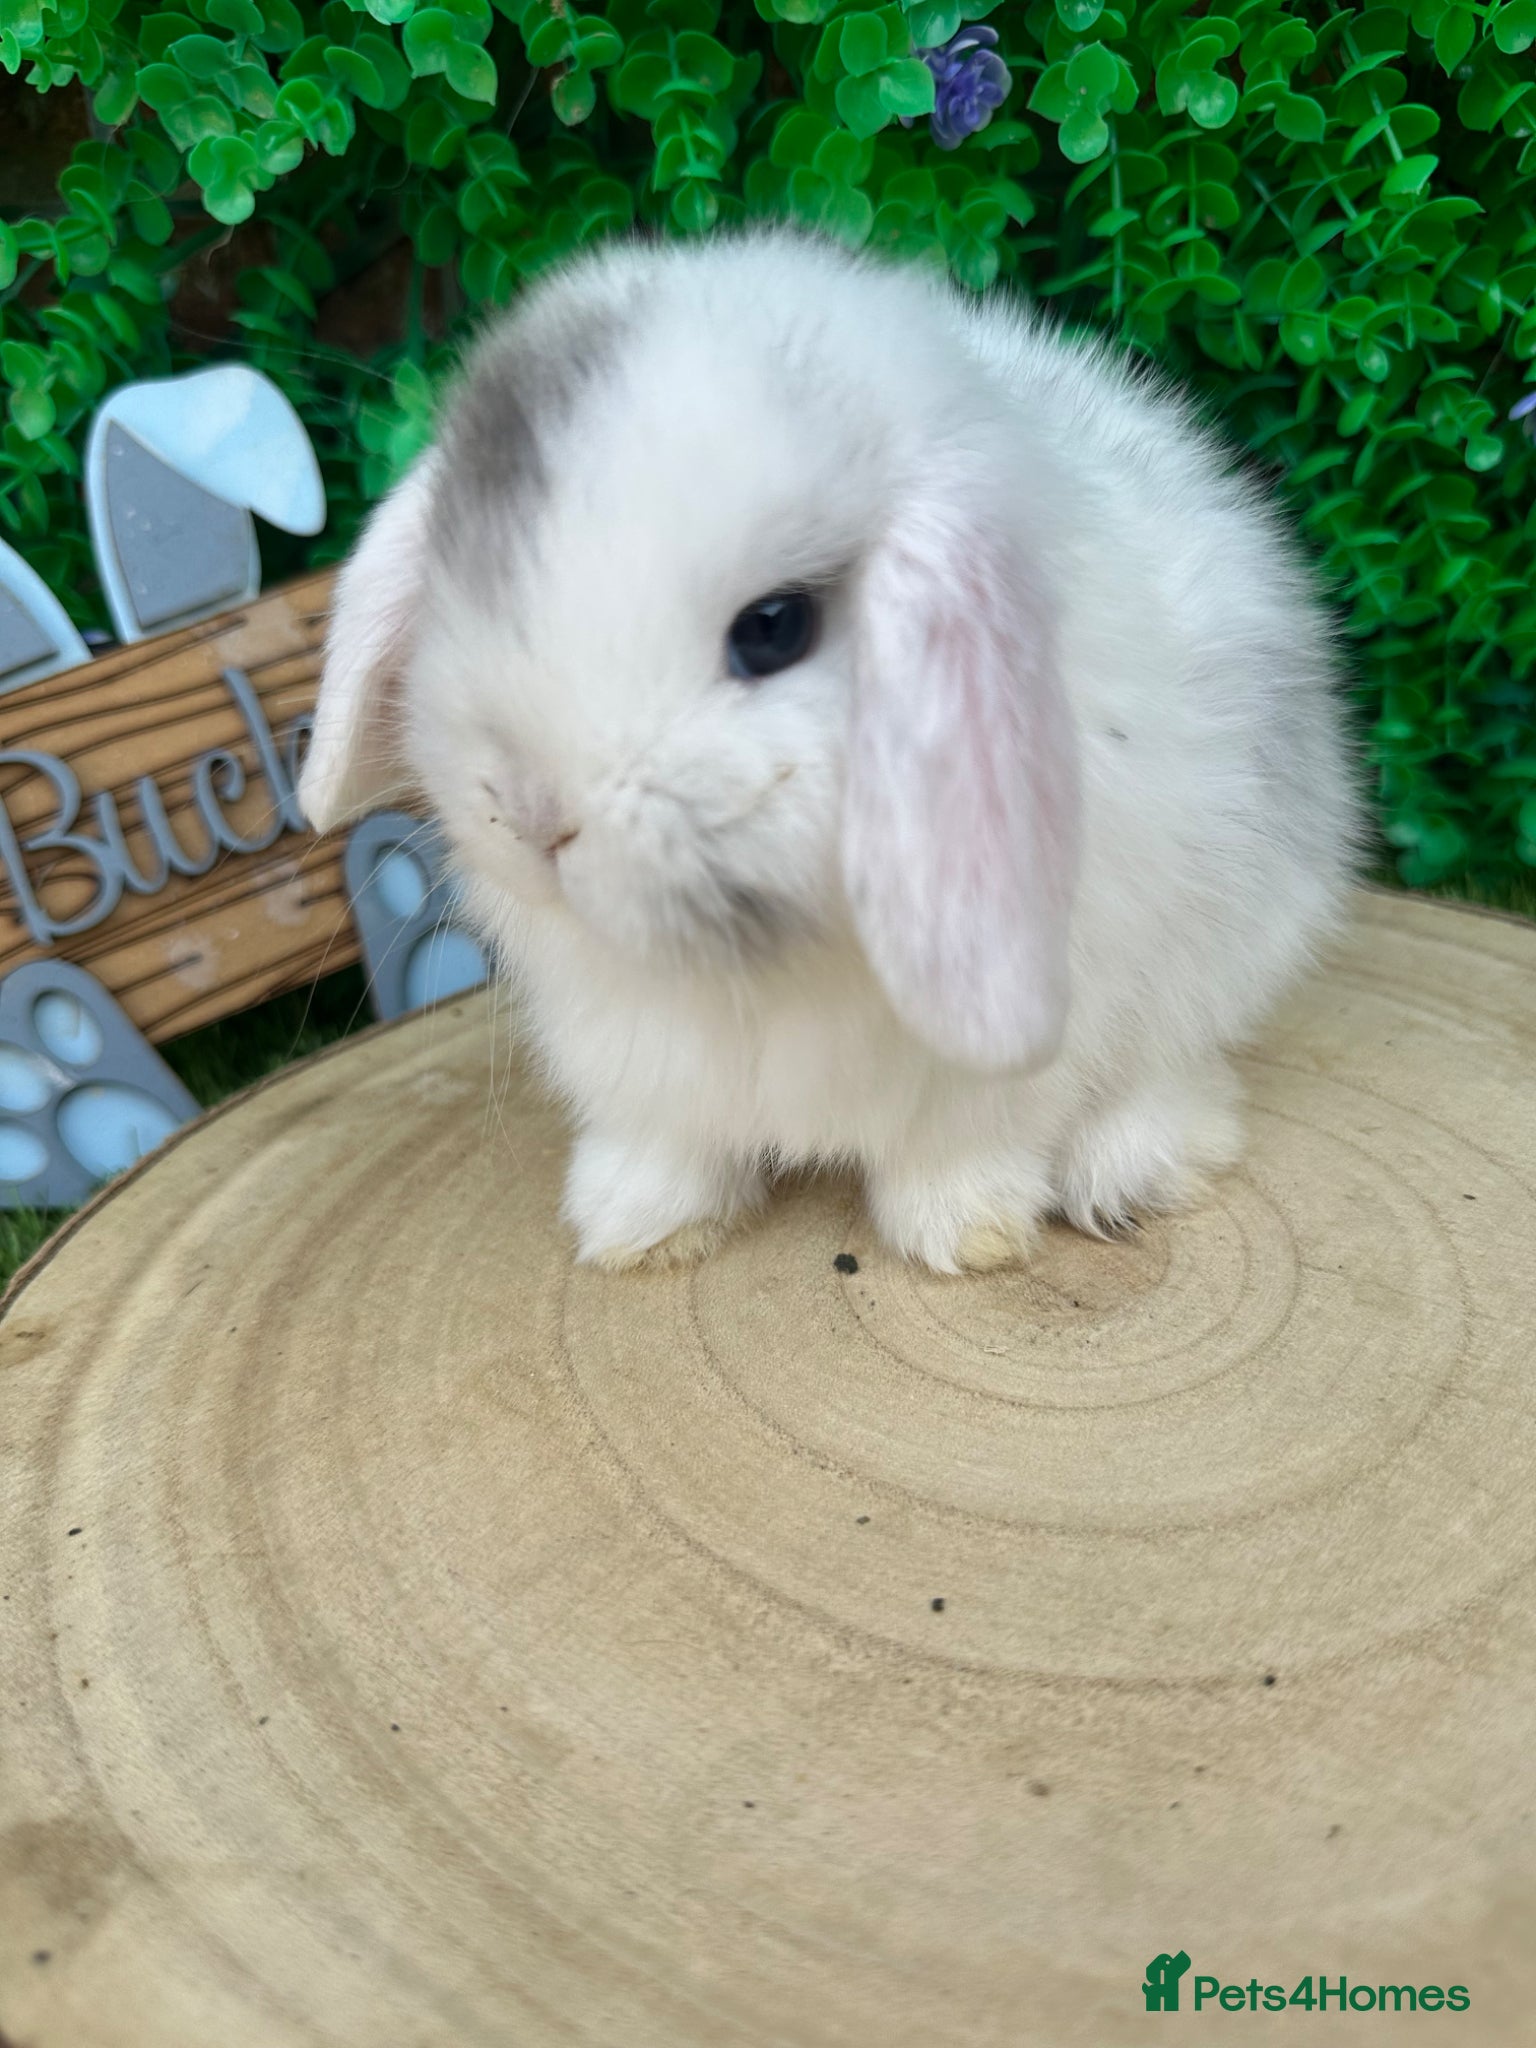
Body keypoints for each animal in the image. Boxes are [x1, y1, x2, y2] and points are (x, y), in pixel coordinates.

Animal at [299, 226, 1361, 1274]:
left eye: (774, 627)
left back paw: (1131, 1176)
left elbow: (966, 1144)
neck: (752, 957)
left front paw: (966, 1232)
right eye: (464, 573)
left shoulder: (1012, 1042)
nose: (530, 813)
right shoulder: (635, 1054)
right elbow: (669, 1140)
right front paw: (633, 1227)